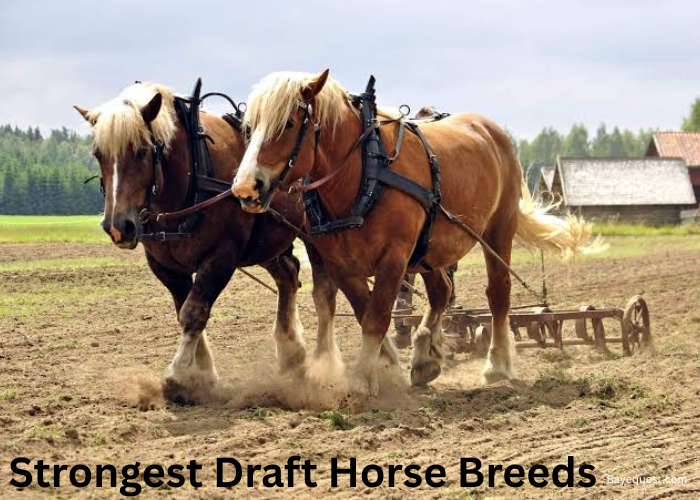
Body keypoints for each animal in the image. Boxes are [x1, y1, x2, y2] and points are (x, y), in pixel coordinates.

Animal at [74, 81, 339, 403]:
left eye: (141, 151)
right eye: (98, 154)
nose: (117, 227)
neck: (191, 175)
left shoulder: (221, 256)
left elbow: (194, 312)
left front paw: (178, 376)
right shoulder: (166, 266)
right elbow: (184, 310)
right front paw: (202, 374)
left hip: (318, 237)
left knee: (324, 294)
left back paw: (324, 363)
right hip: (266, 242)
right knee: (288, 274)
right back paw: (291, 353)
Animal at [231, 70, 599, 396]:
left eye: (289, 124)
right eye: (250, 127)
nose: (245, 188)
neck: (364, 173)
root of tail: (491, 129)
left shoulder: (394, 256)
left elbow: (377, 316)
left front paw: (362, 381)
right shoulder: (341, 263)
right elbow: (365, 311)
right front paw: (388, 369)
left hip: (498, 230)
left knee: (498, 294)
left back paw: (497, 365)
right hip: (430, 249)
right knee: (441, 291)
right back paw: (424, 359)